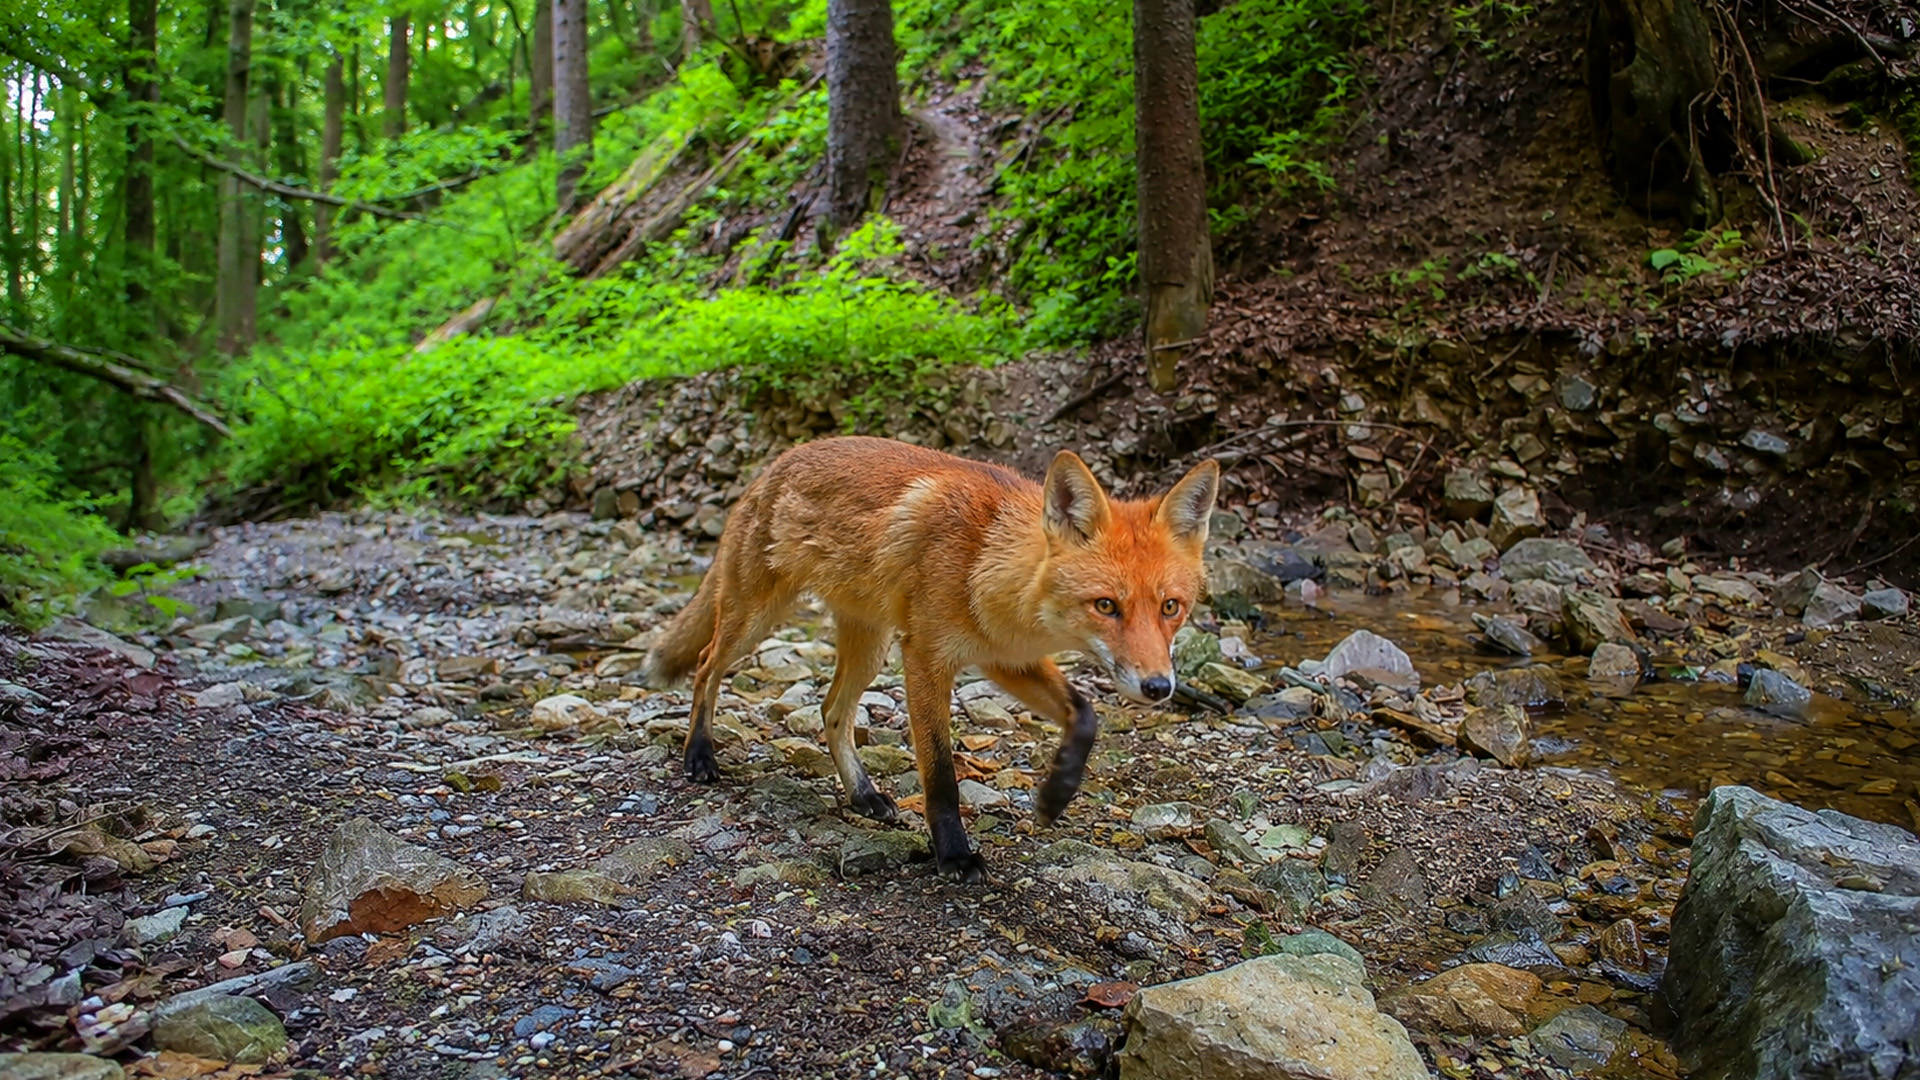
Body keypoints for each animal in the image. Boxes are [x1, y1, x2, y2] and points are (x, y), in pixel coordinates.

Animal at [645, 435, 1219, 881]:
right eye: (1106, 606)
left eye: (1171, 608)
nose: (1159, 687)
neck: (985, 564)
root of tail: (778, 461)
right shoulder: (925, 656)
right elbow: (941, 774)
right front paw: (955, 854)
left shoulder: (1003, 660)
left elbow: (1085, 716)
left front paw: (1057, 794)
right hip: (756, 619)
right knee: (706, 668)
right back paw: (699, 754)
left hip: (870, 645)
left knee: (832, 712)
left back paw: (862, 795)